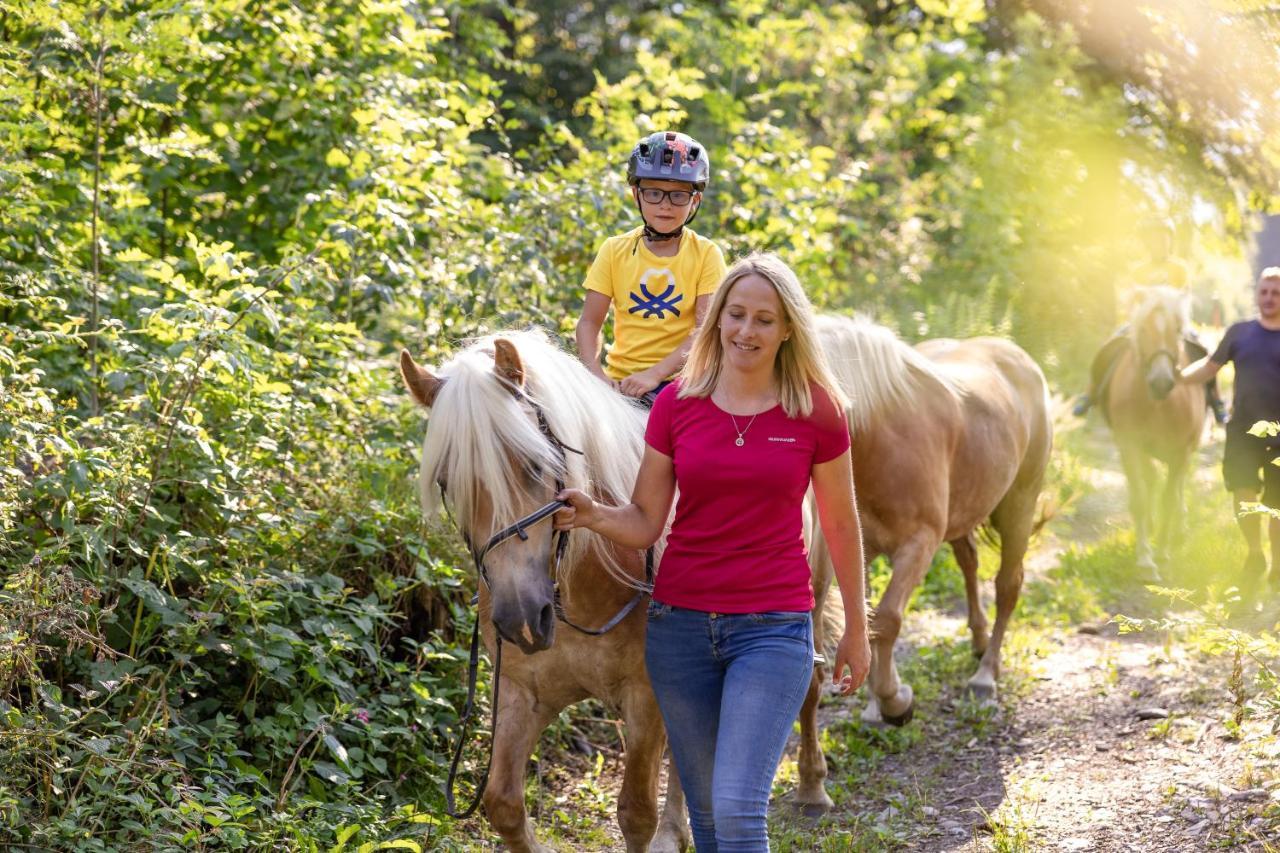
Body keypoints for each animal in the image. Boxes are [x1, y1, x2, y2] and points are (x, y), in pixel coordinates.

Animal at [399, 330, 686, 850]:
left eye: (536, 464)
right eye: (448, 482)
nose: (522, 620)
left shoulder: (647, 694)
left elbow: (636, 812)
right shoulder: (520, 692)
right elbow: (503, 805)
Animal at [788, 313, 1049, 809]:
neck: (878, 437)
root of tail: (1016, 356)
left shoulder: (919, 543)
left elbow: (886, 620)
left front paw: (894, 702)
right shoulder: (860, 549)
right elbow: (865, 623)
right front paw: (876, 702)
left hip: (1019, 507)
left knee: (1008, 586)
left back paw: (985, 677)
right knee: (969, 562)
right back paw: (978, 641)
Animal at [1105, 285, 1203, 571]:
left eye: (1178, 330)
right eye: (1144, 329)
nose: (1161, 382)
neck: (1157, 405)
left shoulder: (1180, 451)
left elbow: (1169, 499)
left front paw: (1162, 550)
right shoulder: (1129, 445)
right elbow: (1139, 497)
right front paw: (1145, 557)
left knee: (1177, 485)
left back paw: (1178, 528)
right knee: (1150, 480)